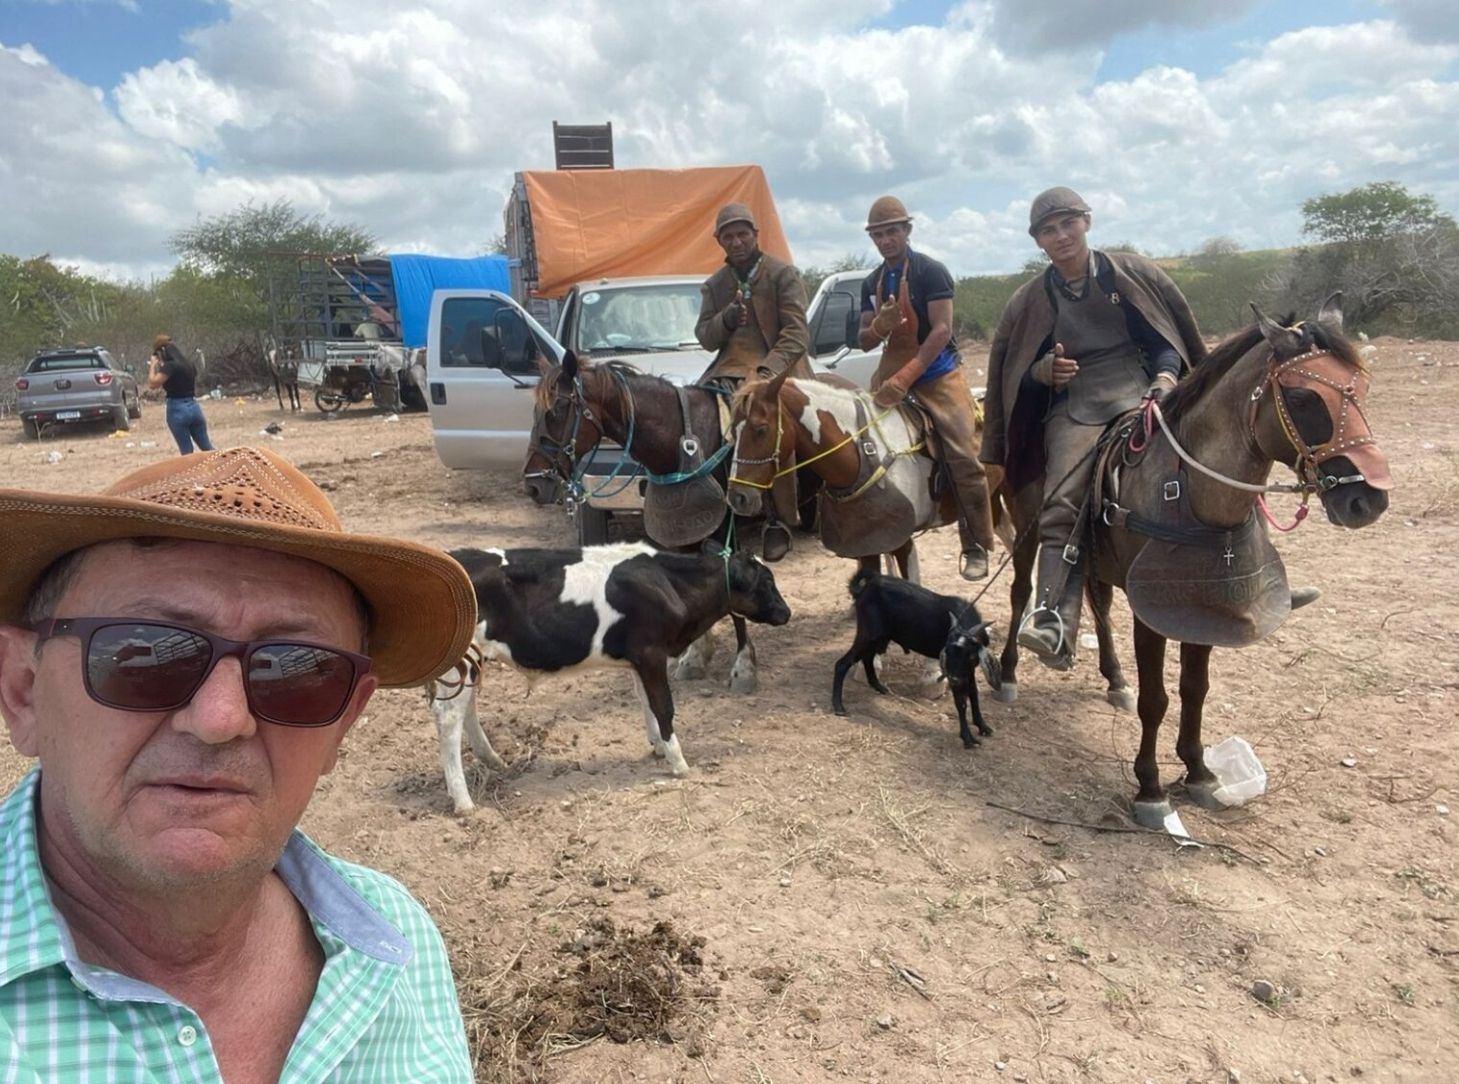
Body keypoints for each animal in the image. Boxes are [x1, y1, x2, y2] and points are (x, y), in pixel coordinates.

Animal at [426, 542, 793, 817]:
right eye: (766, 582)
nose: (786, 612)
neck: (670, 583)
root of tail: (455, 558)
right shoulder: (651, 652)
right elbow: (664, 706)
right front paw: (679, 763)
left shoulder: (640, 659)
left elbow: (646, 703)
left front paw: (658, 747)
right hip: (460, 661)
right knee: (449, 719)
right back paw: (463, 801)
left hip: (472, 662)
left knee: (465, 710)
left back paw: (493, 760)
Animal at [834, 571, 1003, 752]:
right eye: (946, 652)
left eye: (970, 655)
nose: (953, 679)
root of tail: (865, 588)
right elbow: (961, 703)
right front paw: (968, 739)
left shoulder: (967, 670)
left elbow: (974, 694)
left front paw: (983, 727)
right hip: (868, 634)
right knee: (842, 663)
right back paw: (839, 707)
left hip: (879, 636)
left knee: (867, 657)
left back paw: (878, 686)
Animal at [1091, 293, 1383, 828]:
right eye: (1304, 399)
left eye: (1365, 389)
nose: (1368, 501)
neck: (1189, 493)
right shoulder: (1152, 614)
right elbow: (1155, 699)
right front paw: (1150, 788)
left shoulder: (1205, 608)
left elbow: (1195, 689)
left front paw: (1199, 771)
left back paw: (1114, 678)